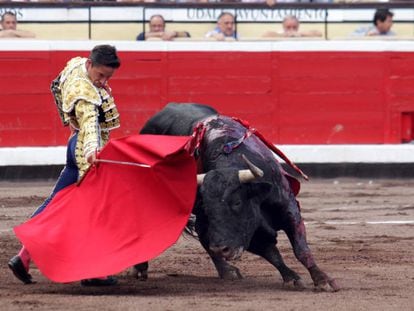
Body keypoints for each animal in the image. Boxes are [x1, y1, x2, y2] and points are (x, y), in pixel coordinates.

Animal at [137, 103, 338, 292]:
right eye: (209, 208)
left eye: (237, 202)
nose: (221, 249)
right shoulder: (248, 233)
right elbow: (272, 253)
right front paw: (292, 278)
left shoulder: (289, 209)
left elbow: (301, 249)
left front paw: (323, 280)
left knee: (202, 233)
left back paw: (226, 270)